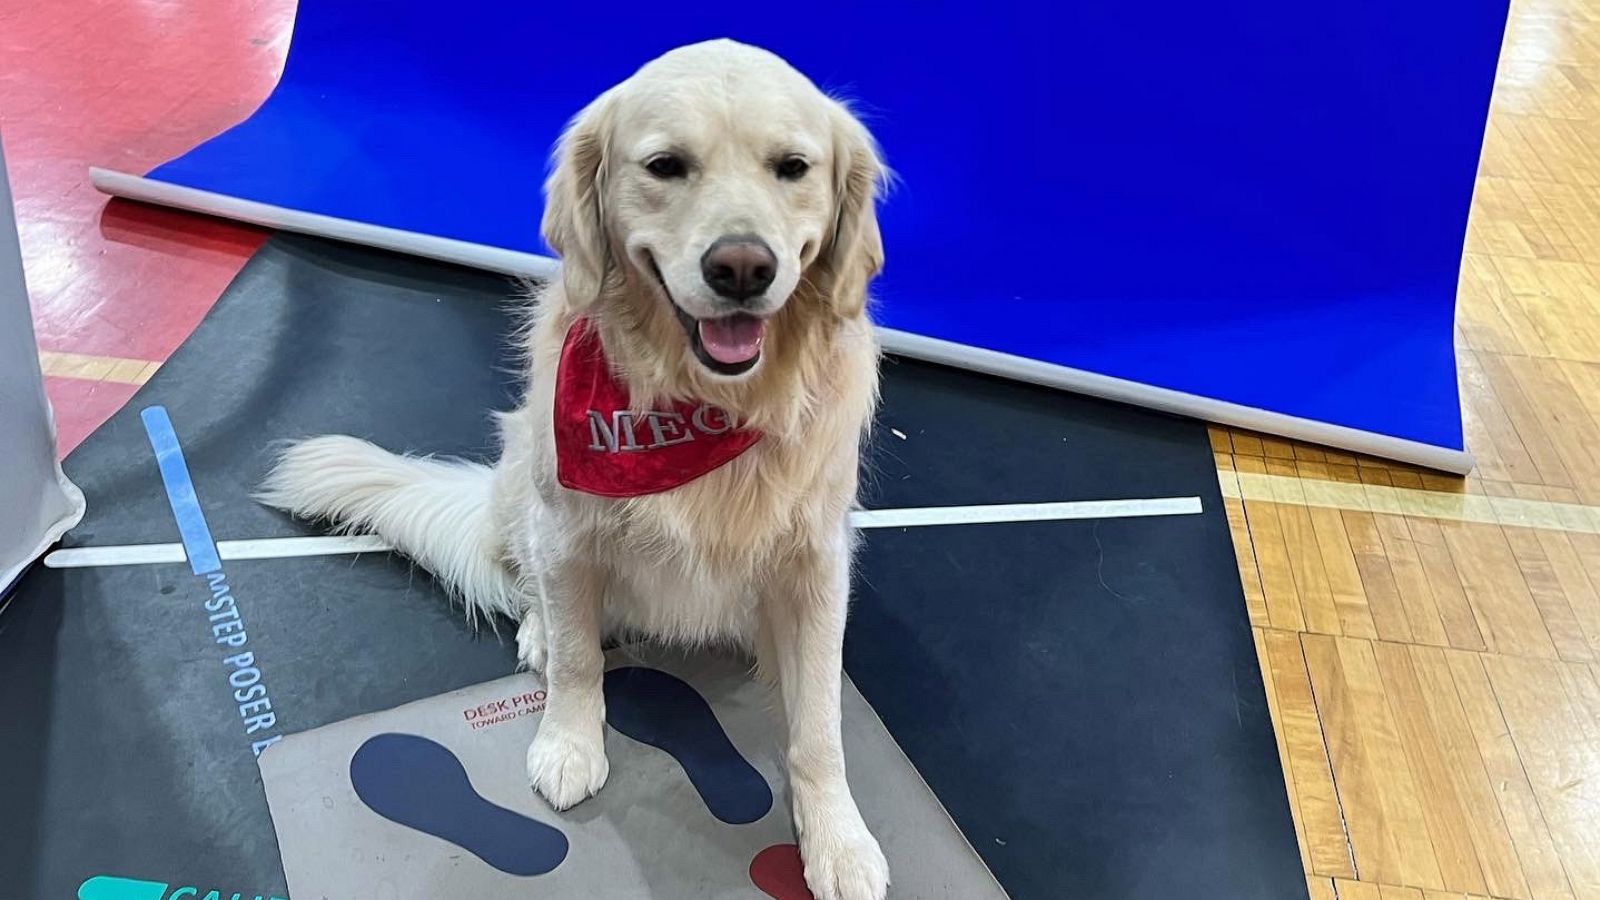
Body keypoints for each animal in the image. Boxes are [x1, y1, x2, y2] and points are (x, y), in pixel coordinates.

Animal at [260, 36, 889, 896]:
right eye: (665, 166)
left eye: (793, 167)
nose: (741, 267)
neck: (704, 404)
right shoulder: (566, 531)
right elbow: (581, 657)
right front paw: (569, 744)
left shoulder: (817, 562)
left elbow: (820, 720)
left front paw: (838, 839)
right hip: (523, 480)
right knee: (538, 595)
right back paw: (536, 633)